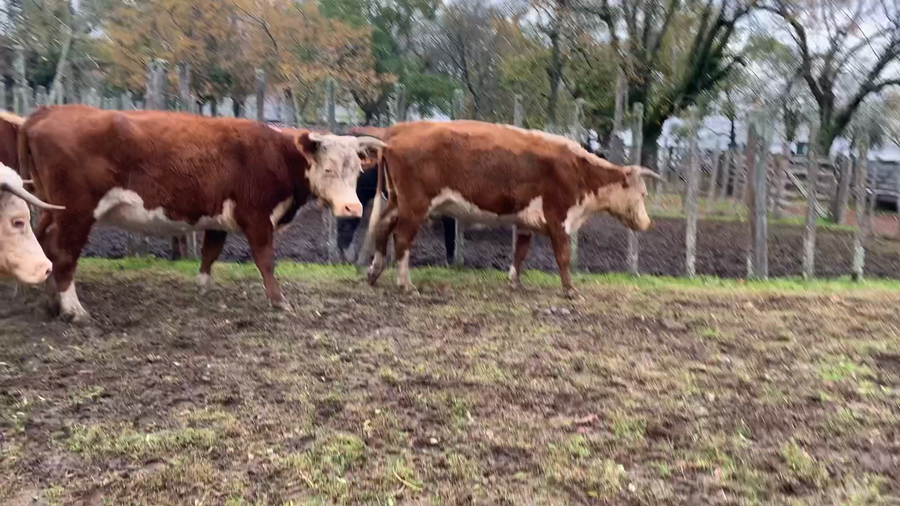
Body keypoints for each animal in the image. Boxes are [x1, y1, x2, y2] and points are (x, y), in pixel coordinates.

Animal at [19, 105, 386, 321]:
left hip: (52, 209)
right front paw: (278, 300)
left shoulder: (218, 218)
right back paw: (73, 308)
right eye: (328, 169)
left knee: (44, 244)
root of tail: (47, 112)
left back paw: (50, 302)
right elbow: (265, 259)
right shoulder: (256, 217)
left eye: (357, 171)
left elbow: (210, 252)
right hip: (76, 213)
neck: (278, 154)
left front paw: (203, 288)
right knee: (64, 255)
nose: (352, 207)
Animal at [361, 120, 662, 296]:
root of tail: (396, 133)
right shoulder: (558, 219)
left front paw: (515, 282)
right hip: (415, 206)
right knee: (401, 239)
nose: (647, 223)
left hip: (397, 202)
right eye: (642, 193)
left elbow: (520, 252)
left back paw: (374, 272)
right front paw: (569, 290)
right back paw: (406, 285)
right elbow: (563, 256)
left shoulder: (526, 222)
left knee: (382, 228)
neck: (579, 169)